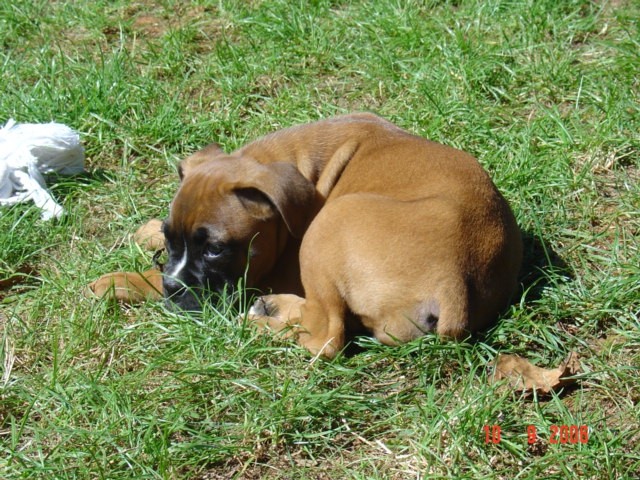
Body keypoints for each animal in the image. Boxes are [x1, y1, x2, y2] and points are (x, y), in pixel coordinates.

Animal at [87, 114, 524, 358]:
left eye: (214, 250)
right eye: (171, 238)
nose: (175, 287)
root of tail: (454, 280)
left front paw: (120, 281)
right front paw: (145, 233)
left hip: (329, 226)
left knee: (326, 338)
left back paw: (255, 323)